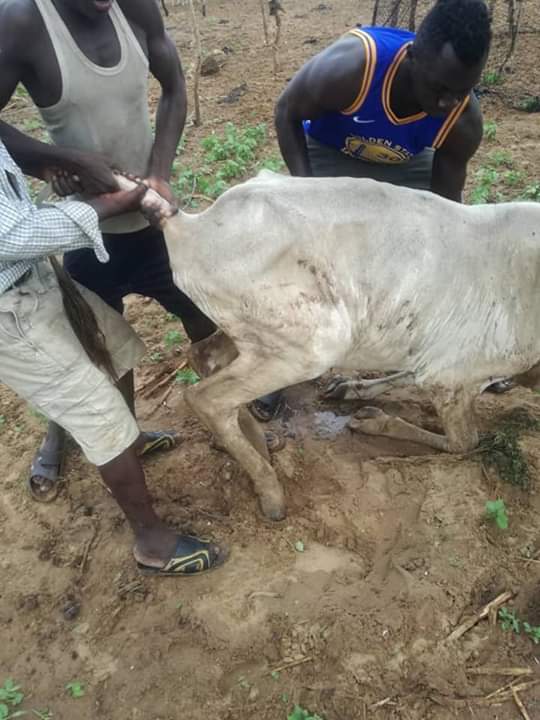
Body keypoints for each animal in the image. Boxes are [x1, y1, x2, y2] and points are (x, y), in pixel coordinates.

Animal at [116, 173, 540, 524]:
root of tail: (187, 225)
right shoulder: (450, 376)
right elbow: (464, 442)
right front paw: (373, 420)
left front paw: (352, 392)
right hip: (314, 343)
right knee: (206, 398)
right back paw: (271, 492)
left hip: (262, 336)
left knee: (204, 356)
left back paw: (258, 443)